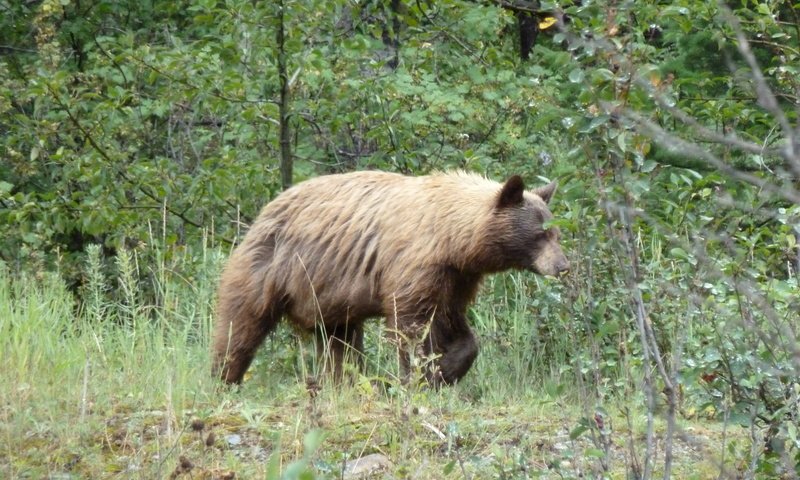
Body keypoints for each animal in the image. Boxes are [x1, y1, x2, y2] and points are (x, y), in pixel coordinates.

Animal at [212, 170, 568, 386]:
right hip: (270, 268)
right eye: (540, 234)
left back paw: (344, 382)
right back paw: (224, 378)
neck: (452, 238)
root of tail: (265, 209)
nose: (563, 266)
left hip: (328, 295)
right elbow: (410, 326)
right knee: (240, 326)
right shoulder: (415, 264)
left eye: (557, 233)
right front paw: (419, 376)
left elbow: (453, 322)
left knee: (338, 342)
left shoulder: (457, 277)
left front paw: (447, 369)